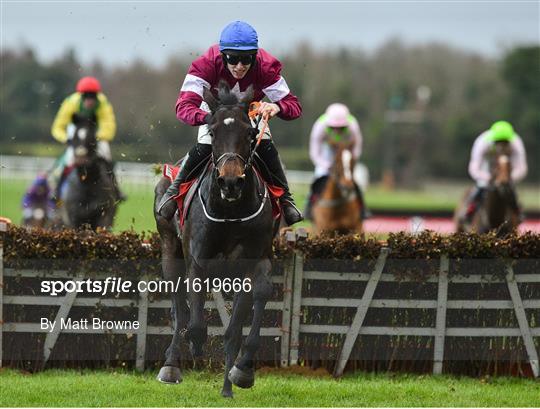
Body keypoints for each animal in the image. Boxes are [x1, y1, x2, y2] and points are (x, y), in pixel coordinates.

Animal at [154, 81, 276, 396]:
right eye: (212, 131)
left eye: (250, 133)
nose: (231, 182)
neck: (230, 212)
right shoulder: (197, 261)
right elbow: (195, 322)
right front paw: (194, 348)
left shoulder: (251, 261)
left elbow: (236, 327)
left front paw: (237, 376)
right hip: (170, 248)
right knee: (180, 307)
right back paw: (171, 364)